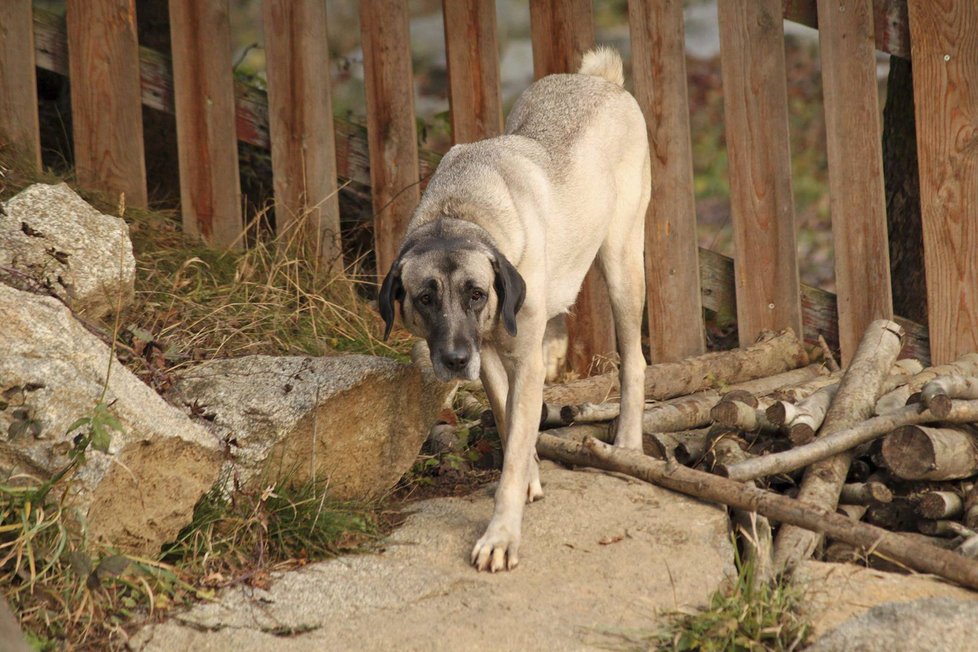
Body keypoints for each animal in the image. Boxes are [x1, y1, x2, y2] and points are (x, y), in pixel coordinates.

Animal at [380, 48, 648, 572]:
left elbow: (518, 436)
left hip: (622, 263)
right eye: (425, 298)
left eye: (476, 293)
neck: (460, 214)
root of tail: (603, 81)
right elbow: (508, 423)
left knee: (635, 360)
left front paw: (501, 536)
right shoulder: (489, 362)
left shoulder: (525, 364)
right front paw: (528, 476)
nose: (455, 360)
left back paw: (627, 444)